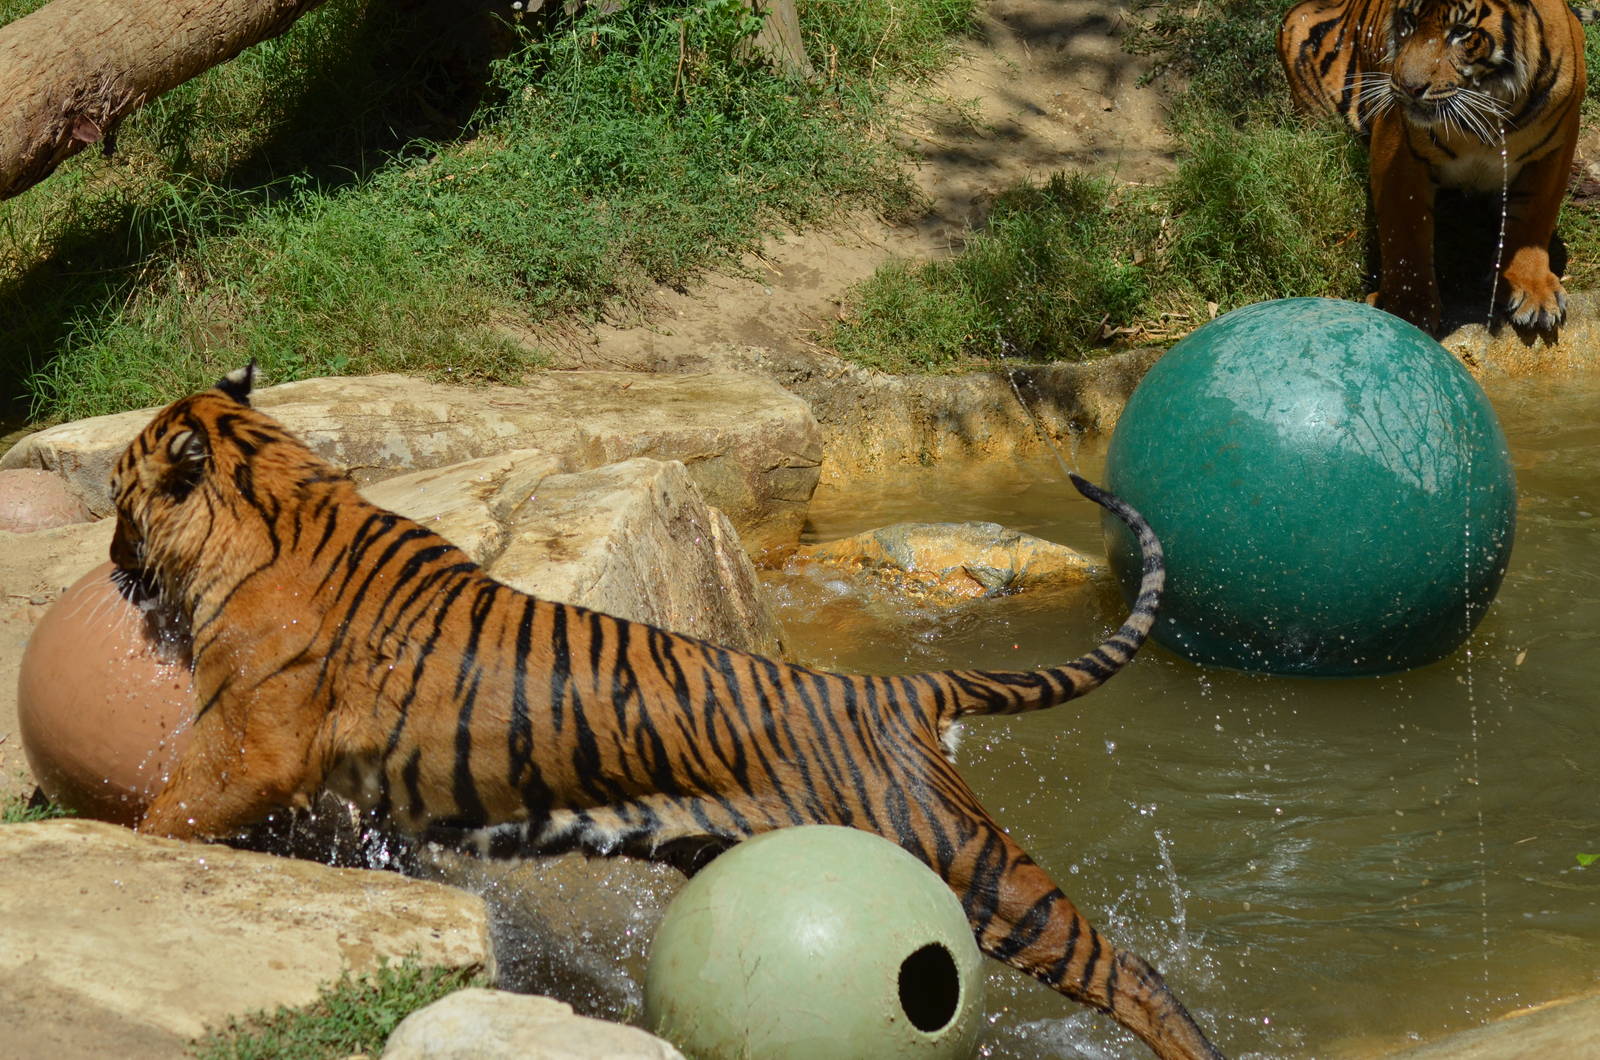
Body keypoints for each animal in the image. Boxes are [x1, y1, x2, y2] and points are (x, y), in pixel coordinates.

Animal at [111, 366, 1224, 1060]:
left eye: (120, 491)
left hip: (965, 861)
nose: (115, 566)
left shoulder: (247, 747)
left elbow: (166, 816)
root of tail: (898, 687)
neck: (272, 484)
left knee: (1130, 970)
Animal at [1277, 0, 1588, 334]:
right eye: (1409, 21)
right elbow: (1406, 234)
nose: (1407, 87)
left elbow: (1533, 217)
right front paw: (1407, 310)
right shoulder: (1399, 149)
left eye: (1461, 32)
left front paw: (1533, 290)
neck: (1486, 108)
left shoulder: (1555, 147)